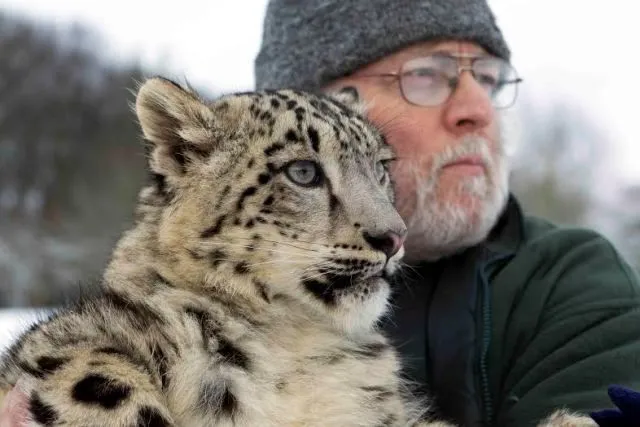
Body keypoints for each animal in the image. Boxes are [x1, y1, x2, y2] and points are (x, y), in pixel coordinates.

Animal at [0, 77, 597, 427]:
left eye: (381, 167)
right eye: (304, 172)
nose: (393, 236)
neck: (293, 345)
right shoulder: (71, 343)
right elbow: (95, 378)